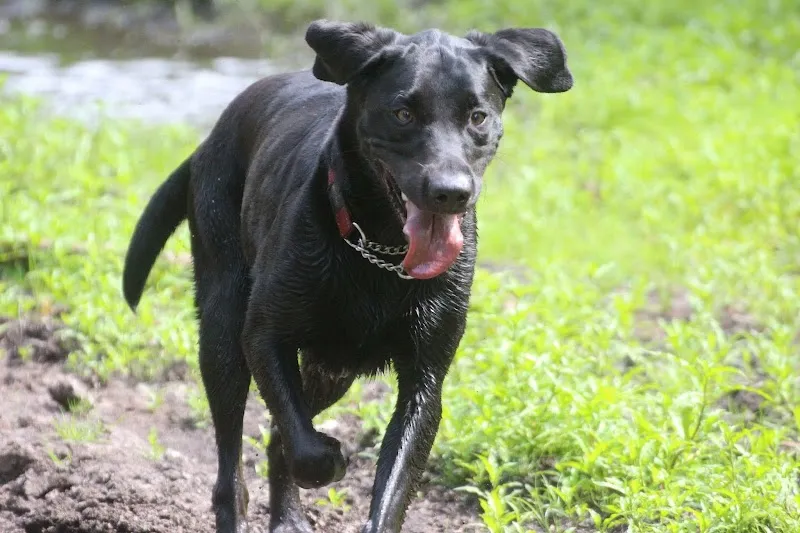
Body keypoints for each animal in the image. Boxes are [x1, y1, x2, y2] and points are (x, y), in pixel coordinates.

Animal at [122, 19, 572, 533]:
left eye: (478, 116)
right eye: (402, 113)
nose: (450, 192)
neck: (379, 250)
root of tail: (207, 140)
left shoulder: (424, 381)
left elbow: (390, 488)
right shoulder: (264, 337)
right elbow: (307, 448)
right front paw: (331, 460)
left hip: (331, 370)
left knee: (278, 433)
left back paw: (289, 518)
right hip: (223, 331)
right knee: (233, 468)